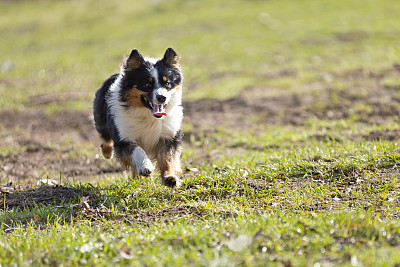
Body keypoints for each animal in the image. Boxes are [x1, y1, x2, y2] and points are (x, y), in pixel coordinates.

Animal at [93, 48, 184, 191]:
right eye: (147, 84)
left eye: (167, 83)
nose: (162, 97)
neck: (149, 117)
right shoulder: (124, 138)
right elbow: (137, 149)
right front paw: (145, 166)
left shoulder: (169, 136)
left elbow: (168, 158)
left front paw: (170, 178)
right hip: (101, 121)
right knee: (105, 139)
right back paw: (108, 153)